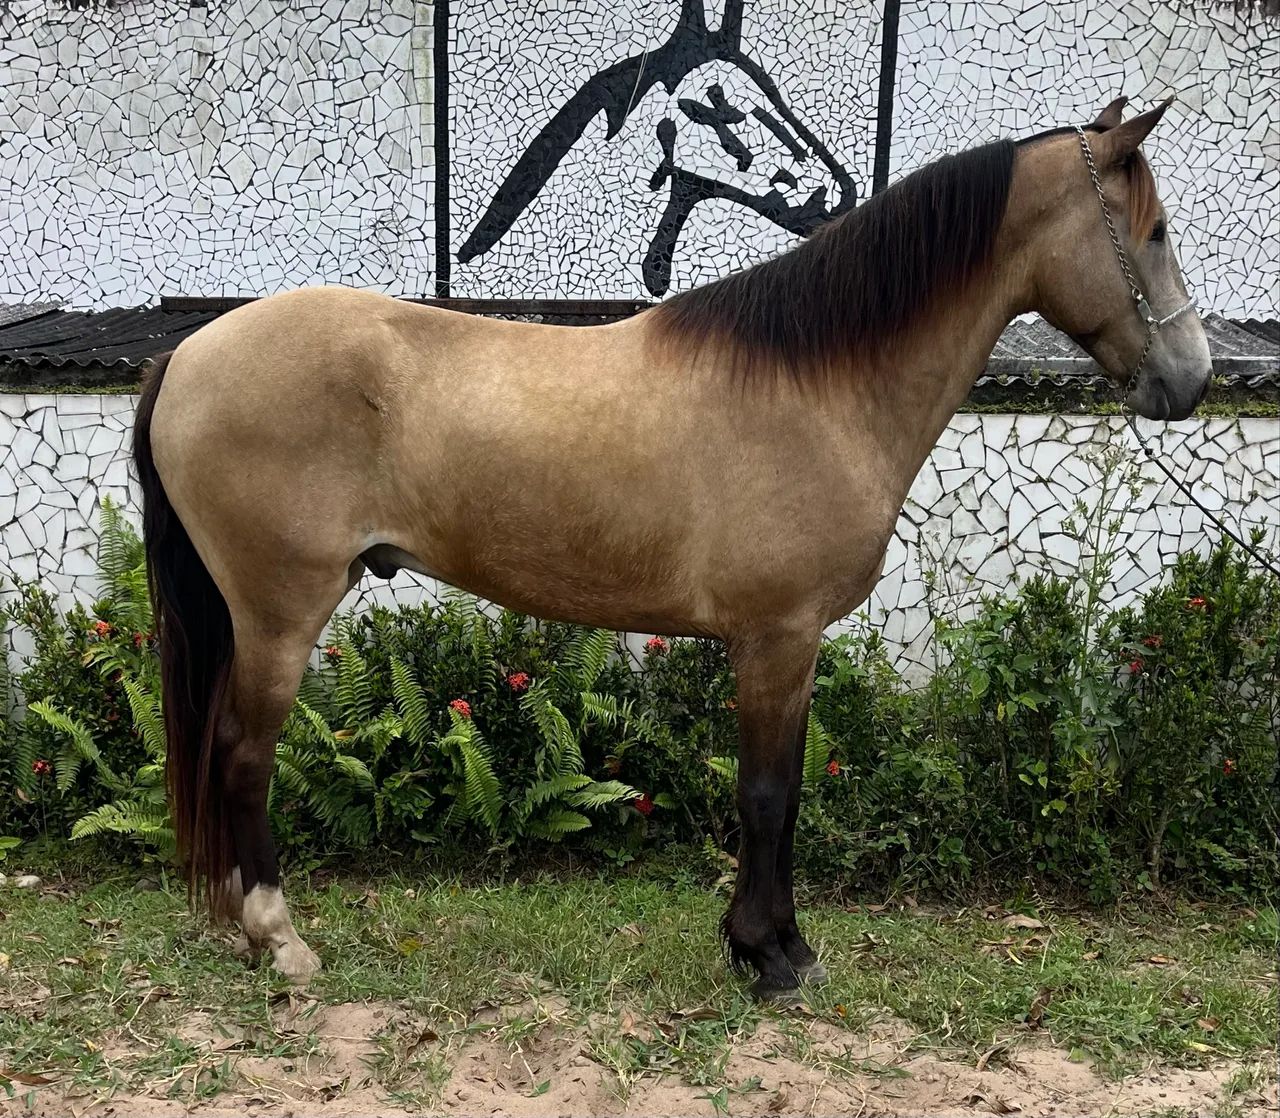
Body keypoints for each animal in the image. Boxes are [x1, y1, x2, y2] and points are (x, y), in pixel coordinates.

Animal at [133, 96, 1209, 1001]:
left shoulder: (788, 644)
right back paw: (279, 939)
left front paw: (774, 943)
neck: (816, 383)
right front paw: (768, 955)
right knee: (242, 754)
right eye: (1153, 232)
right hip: (280, 610)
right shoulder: (775, 638)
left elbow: (780, 790)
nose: (1192, 379)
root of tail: (187, 353)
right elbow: (768, 793)